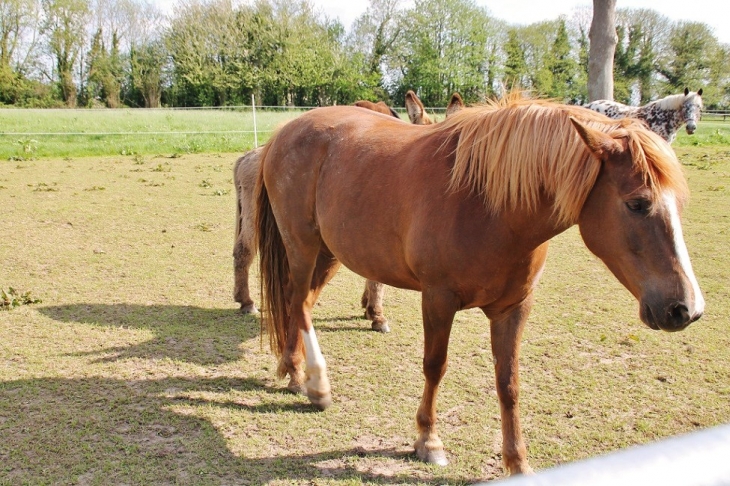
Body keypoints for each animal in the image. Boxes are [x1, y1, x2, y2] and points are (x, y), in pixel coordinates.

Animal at [255, 93, 700, 476]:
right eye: (637, 204)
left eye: (680, 204)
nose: (686, 309)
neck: (489, 204)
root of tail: (286, 131)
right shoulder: (437, 300)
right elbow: (435, 366)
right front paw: (428, 441)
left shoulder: (514, 308)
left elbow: (509, 382)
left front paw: (517, 462)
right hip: (302, 245)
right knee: (298, 304)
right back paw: (316, 384)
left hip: (331, 252)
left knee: (300, 304)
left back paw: (294, 371)